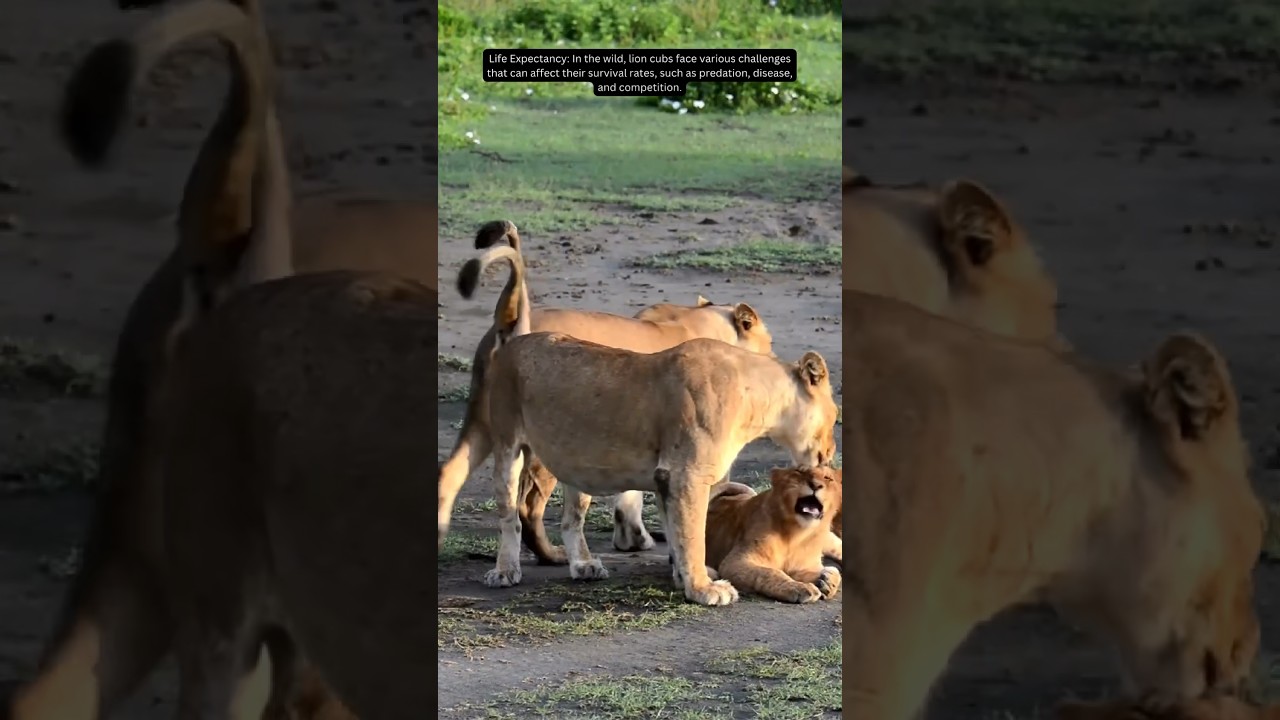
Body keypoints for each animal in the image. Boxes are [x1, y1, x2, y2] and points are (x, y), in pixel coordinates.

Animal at [703, 467, 843, 604]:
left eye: (828, 478)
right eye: (800, 472)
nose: (815, 485)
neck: (797, 533)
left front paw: (826, 581)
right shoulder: (734, 562)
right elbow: (769, 572)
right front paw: (800, 587)